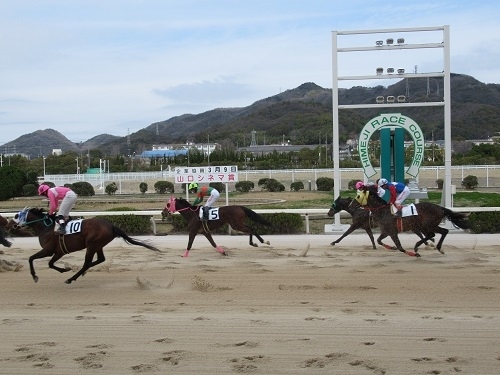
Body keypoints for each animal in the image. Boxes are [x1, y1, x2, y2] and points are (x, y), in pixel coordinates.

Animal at [9, 207, 159, 284]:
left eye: (16, 215)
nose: (11, 225)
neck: (47, 228)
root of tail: (111, 225)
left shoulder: (49, 250)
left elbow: (33, 259)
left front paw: (35, 276)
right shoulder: (58, 252)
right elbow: (49, 264)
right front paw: (65, 268)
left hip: (92, 245)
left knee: (87, 263)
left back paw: (71, 278)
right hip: (98, 245)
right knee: (100, 259)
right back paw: (81, 273)